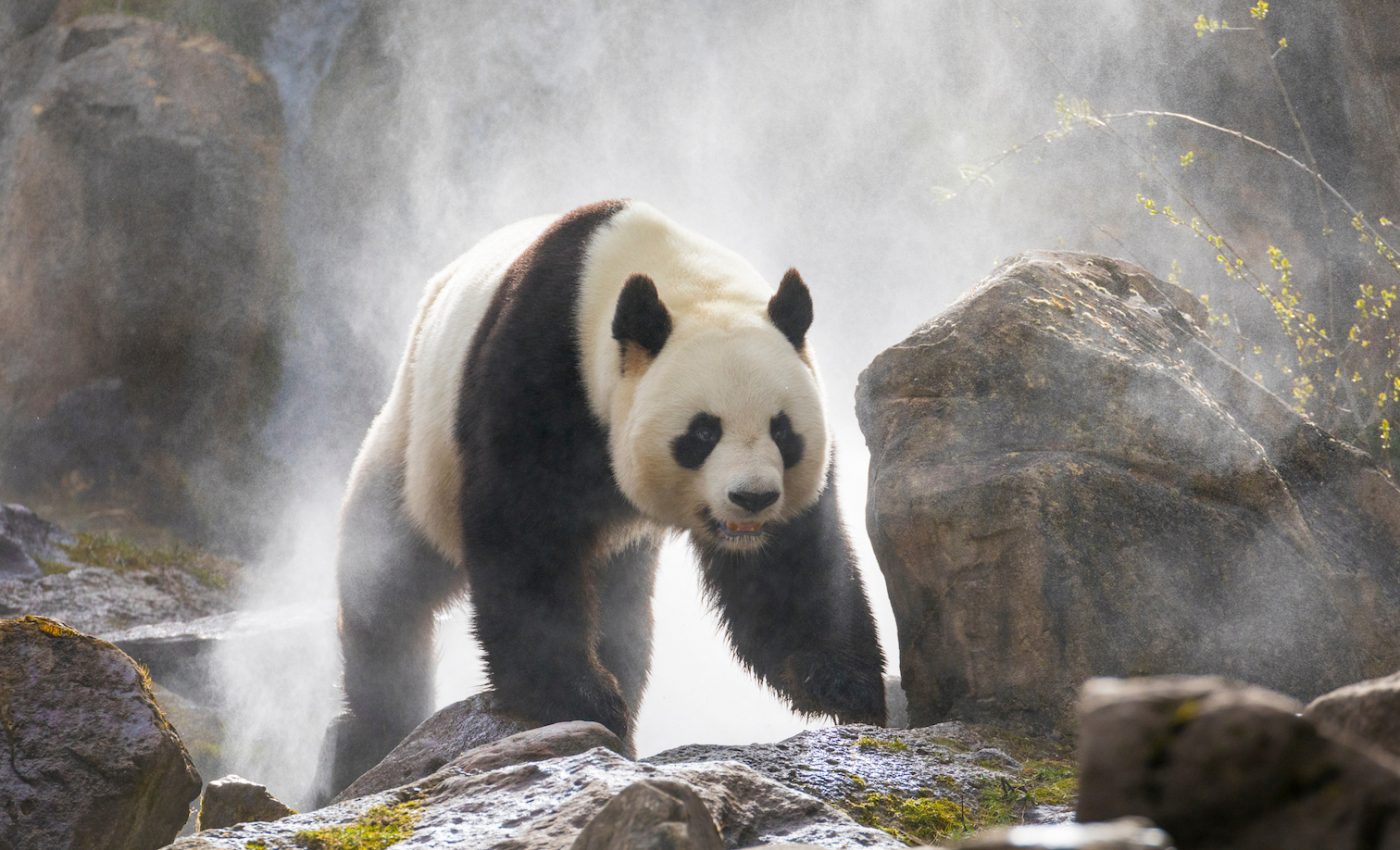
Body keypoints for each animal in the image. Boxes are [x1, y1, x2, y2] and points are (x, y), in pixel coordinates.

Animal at [320, 199, 886, 796]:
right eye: (703, 432)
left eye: (783, 431)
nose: (752, 498)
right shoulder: (538, 369)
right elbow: (522, 534)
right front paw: (576, 697)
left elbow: (792, 567)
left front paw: (842, 683)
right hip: (416, 456)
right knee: (386, 588)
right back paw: (369, 736)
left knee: (625, 620)